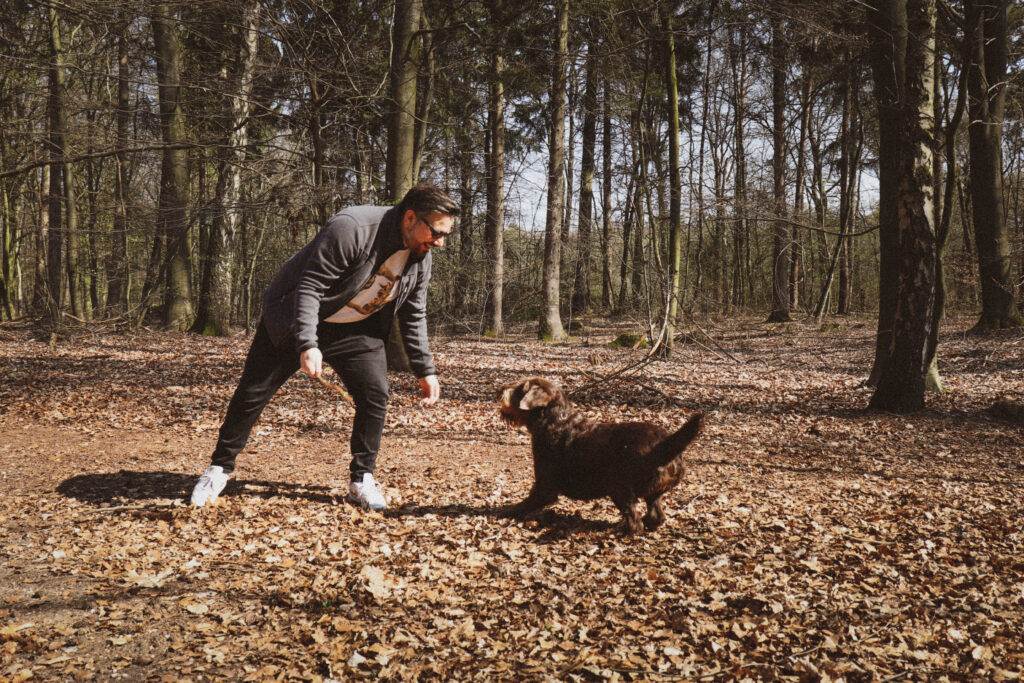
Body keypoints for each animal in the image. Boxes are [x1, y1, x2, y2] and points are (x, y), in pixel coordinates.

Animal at [497, 378, 704, 532]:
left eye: (520, 388)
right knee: (656, 516)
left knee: (635, 523)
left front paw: (507, 511)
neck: (554, 419)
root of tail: (665, 444)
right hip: (651, 493)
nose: (501, 388)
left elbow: (526, 503)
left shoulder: (544, 486)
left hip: (620, 488)